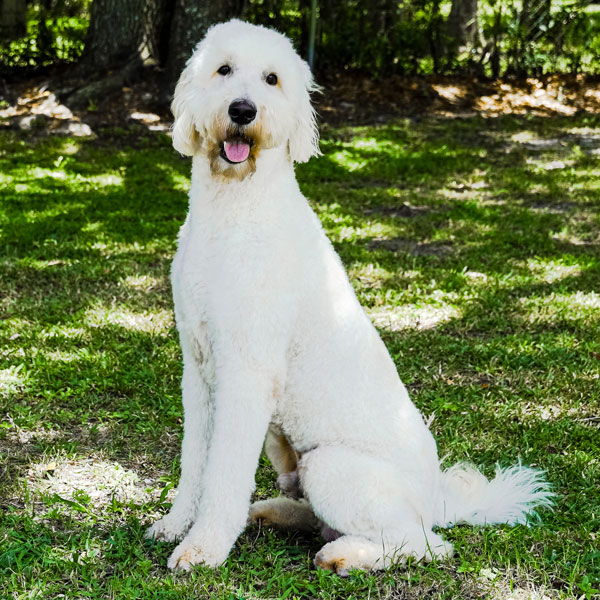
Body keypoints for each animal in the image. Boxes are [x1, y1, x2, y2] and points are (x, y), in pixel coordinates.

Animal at [146, 17, 552, 572]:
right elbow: (195, 462)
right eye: (223, 69)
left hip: (332, 466)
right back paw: (274, 512)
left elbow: (223, 474)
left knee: (424, 543)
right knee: (321, 517)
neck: (235, 210)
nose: (243, 111)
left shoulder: (247, 372)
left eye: (272, 79)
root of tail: (438, 500)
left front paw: (204, 547)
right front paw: (175, 525)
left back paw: (344, 555)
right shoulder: (199, 366)